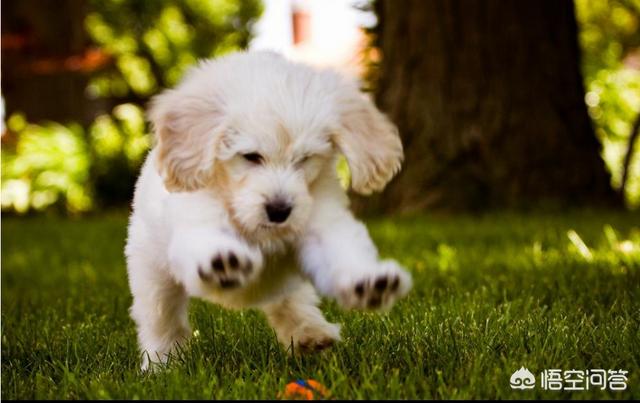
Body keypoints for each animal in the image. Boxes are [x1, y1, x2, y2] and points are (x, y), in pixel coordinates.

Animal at [125, 52, 412, 370]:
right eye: (251, 157)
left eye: (304, 159)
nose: (279, 210)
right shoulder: (196, 219)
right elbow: (206, 240)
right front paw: (223, 261)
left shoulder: (322, 220)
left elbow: (341, 250)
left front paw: (369, 282)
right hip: (151, 271)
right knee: (161, 319)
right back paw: (162, 364)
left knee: (290, 303)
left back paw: (309, 333)